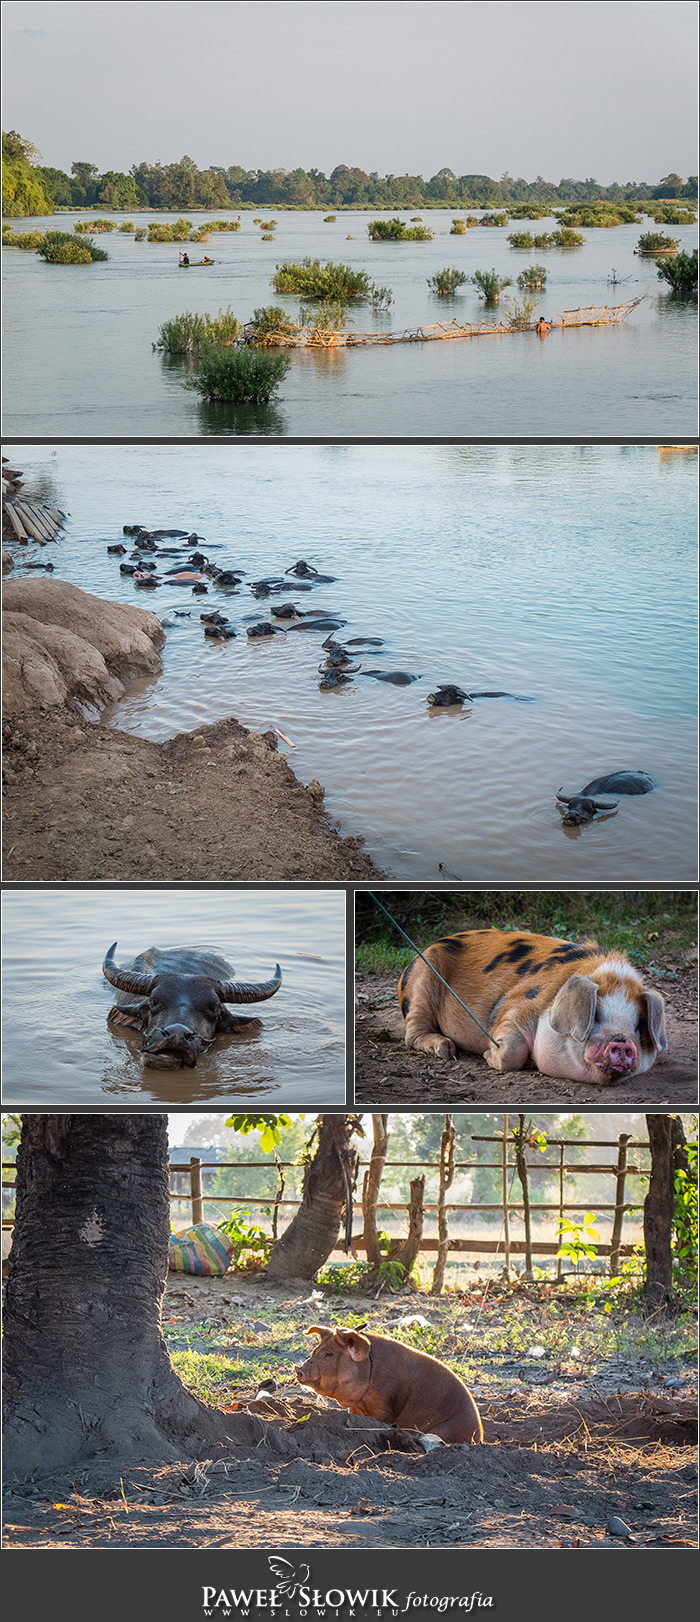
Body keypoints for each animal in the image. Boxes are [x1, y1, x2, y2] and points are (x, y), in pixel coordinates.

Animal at [293, 1330, 479, 1446]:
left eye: (329, 1354)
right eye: (315, 1350)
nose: (299, 1369)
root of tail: (480, 1435)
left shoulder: (384, 1405)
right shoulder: (356, 1406)